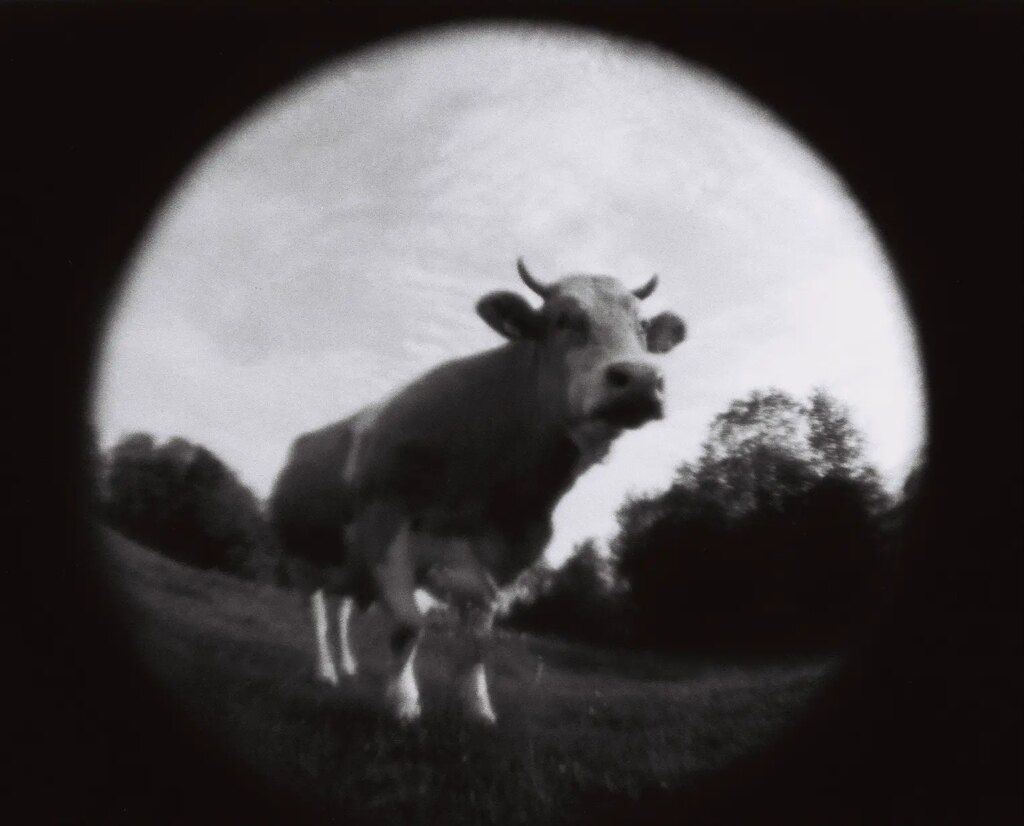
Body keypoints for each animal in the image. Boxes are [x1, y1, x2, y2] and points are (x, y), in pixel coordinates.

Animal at [270, 257, 688, 724]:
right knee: (316, 613)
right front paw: (404, 705)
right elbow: (408, 624)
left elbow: (477, 642)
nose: (640, 379)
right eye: (563, 320)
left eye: (643, 326)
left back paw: (346, 667)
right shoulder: (385, 522)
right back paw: (325, 671)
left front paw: (477, 709)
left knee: (339, 611)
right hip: (300, 556)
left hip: (344, 562)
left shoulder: (504, 557)